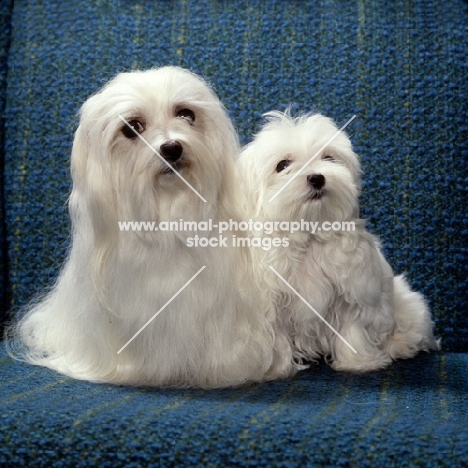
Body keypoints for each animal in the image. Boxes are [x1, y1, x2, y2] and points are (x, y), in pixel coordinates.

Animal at [239, 110, 440, 372]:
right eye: (282, 165)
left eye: (329, 157)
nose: (317, 178)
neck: (310, 234)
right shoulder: (273, 301)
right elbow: (278, 337)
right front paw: (278, 368)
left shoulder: (355, 291)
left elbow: (353, 327)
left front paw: (358, 362)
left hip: (406, 302)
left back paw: (398, 346)